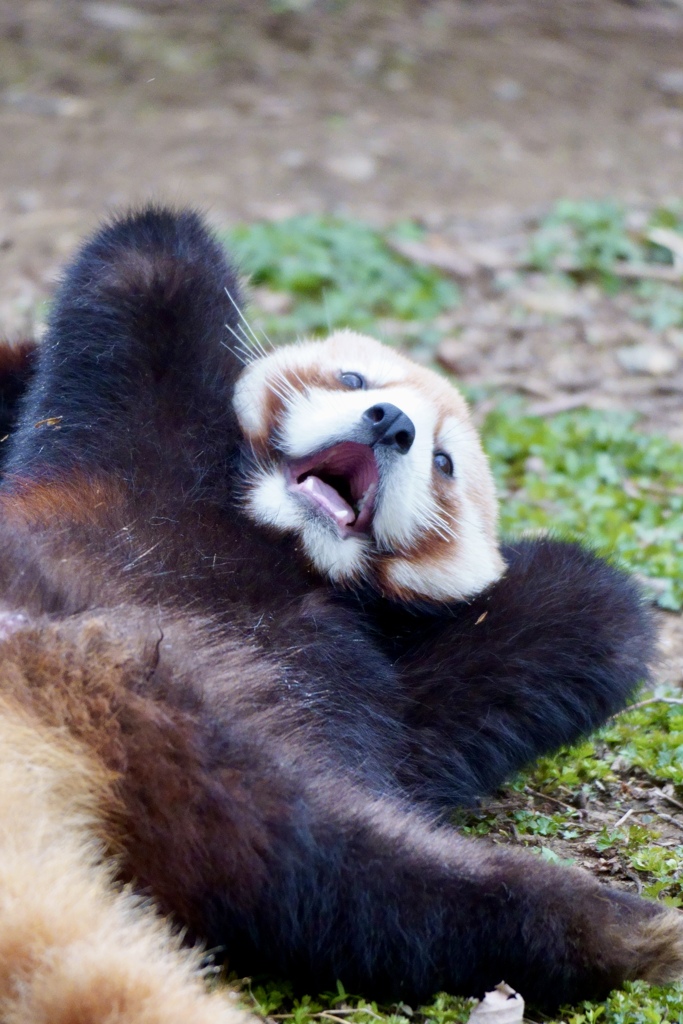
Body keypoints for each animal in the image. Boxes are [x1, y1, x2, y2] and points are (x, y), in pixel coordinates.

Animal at [0, 207, 679, 1024]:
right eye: (354, 379)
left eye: (443, 462)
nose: (390, 424)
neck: (277, 539)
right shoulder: (128, 443)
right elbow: (152, 256)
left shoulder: (353, 682)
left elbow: (592, 615)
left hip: (206, 737)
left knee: (352, 875)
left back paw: (619, 928)